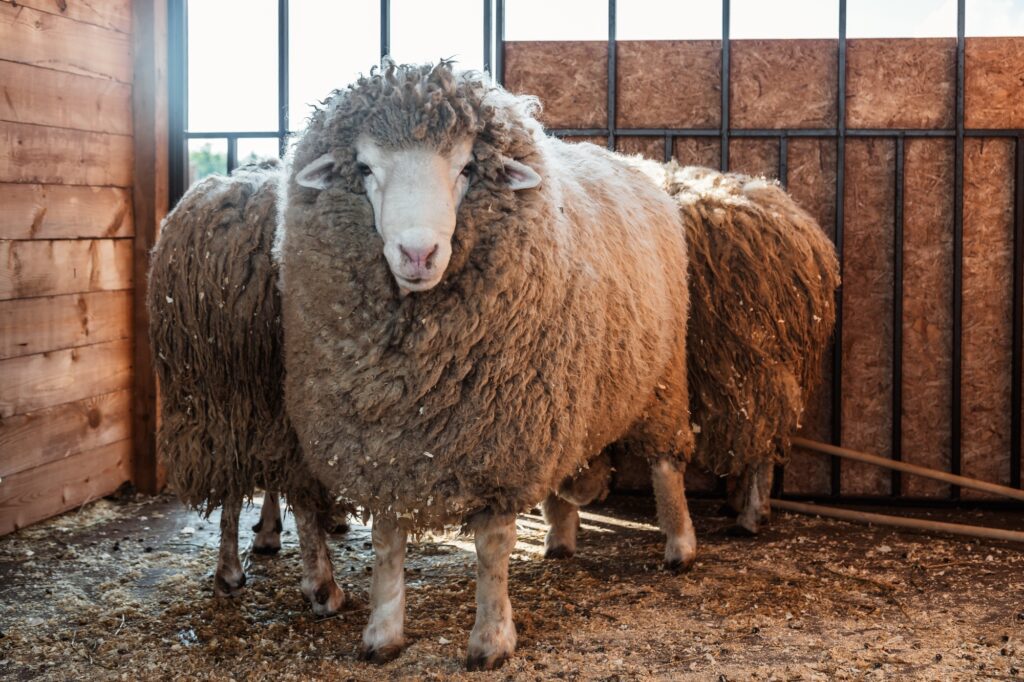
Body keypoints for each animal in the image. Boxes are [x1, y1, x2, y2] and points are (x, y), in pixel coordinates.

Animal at [147, 160, 345, 615]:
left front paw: (267, 530)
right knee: (296, 477)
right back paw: (322, 586)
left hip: (223, 389)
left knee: (231, 470)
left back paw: (228, 572)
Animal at [278, 61, 696, 670]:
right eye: (364, 167)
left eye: (467, 168)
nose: (418, 253)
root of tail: (628, 163)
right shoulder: (384, 447)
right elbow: (386, 543)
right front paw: (383, 632)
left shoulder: (503, 442)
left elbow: (492, 549)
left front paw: (492, 639)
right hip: (563, 400)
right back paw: (560, 541)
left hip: (661, 380)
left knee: (667, 466)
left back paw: (680, 547)